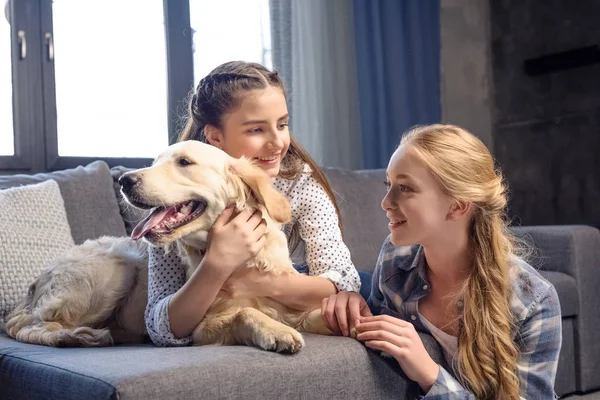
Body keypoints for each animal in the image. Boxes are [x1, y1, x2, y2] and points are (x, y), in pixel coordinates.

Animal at [5, 141, 328, 354]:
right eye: (154, 162)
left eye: (184, 162)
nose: (124, 180)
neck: (242, 261)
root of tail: (36, 283)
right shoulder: (200, 329)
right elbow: (244, 313)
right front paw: (277, 331)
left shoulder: (292, 302)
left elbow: (321, 313)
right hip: (117, 269)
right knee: (29, 325)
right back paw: (76, 336)